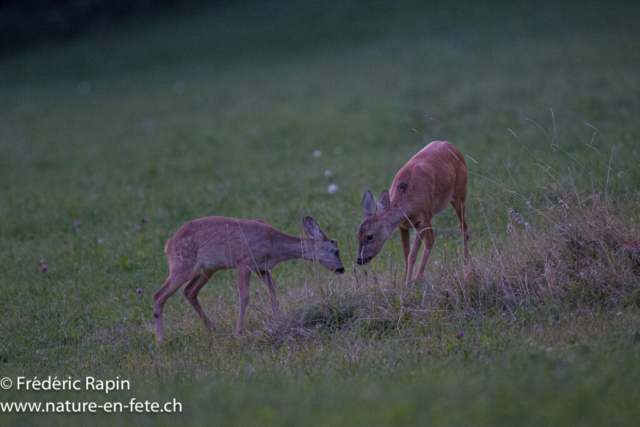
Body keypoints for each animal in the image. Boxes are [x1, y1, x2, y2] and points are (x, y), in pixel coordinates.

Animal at [152, 216, 342, 342]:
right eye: (336, 251)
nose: (342, 269)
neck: (273, 246)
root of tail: (168, 244)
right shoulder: (244, 261)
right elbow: (244, 296)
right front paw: (239, 332)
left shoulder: (262, 267)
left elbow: (272, 292)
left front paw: (278, 322)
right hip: (181, 264)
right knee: (158, 295)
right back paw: (161, 341)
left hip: (207, 269)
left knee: (189, 291)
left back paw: (212, 328)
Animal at [356, 140, 470, 286]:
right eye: (357, 235)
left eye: (370, 236)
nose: (360, 259)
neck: (407, 204)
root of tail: (451, 145)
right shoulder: (404, 225)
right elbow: (406, 253)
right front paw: (407, 279)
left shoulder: (422, 221)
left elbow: (412, 255)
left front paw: (407, 284)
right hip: (431, 212)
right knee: (431, 240)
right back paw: (418, 278)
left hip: (460, 193)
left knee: (463, 227)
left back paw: (466, 265)